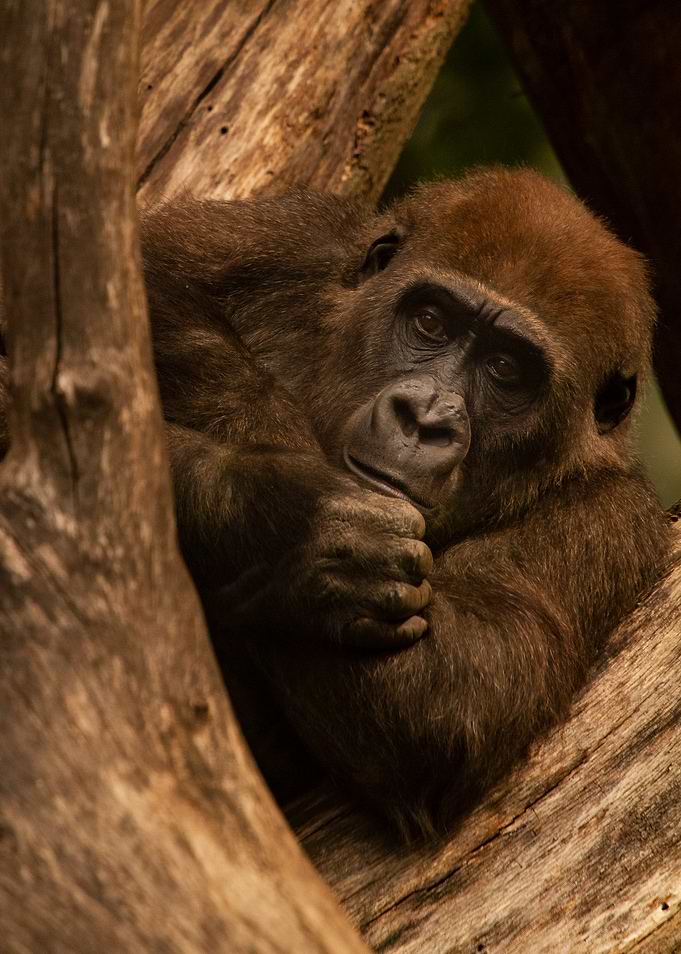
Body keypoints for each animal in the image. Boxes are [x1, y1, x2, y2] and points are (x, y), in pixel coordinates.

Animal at [0, 168, 672, 834]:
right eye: (431, 323)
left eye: (506, 368)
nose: (424, 419)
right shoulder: (314, 239)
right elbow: (142, 269)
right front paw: (291, 516)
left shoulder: (611, 521)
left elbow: (444, 696)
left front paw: (298, 544)